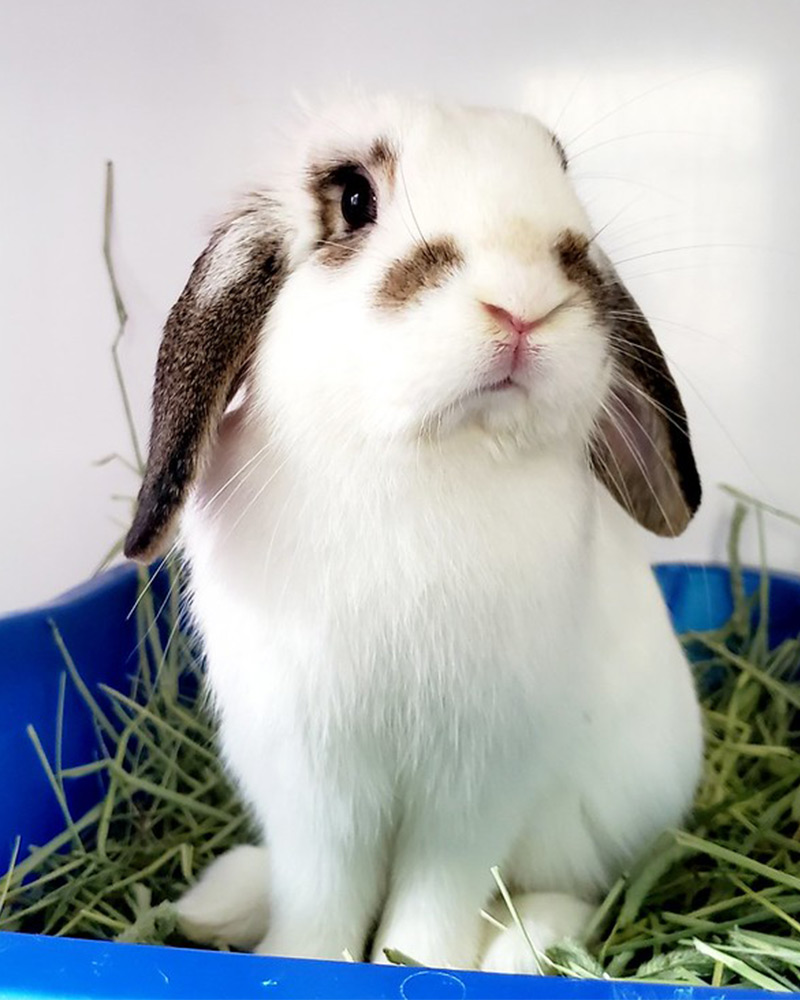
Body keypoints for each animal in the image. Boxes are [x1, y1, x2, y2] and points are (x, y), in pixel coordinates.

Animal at [122, 92, 704, 968]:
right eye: (354, 198)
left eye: (561, 169)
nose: (523, 304)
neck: (425, 463)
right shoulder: (313, 773)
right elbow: (323, 887)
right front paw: (301, 961)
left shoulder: (477, 780)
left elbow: (439, 887)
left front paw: (421, 962)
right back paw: (217, 906)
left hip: (590, 823)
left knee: (573, 891)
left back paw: (522, 948)